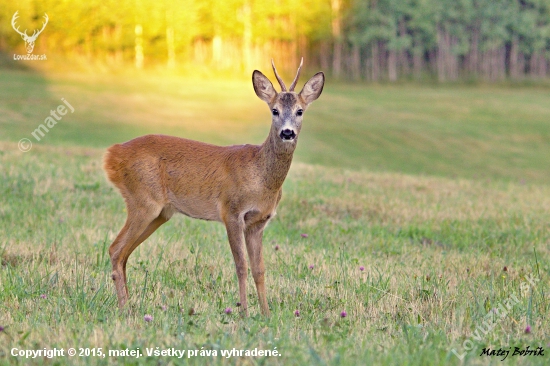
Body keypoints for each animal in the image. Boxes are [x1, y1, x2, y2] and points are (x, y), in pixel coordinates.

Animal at [104, 59, 324, 314]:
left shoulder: (258, 222)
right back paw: (124, 308)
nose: (287, 132)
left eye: (300, 111)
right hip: (142, 200)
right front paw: (244, 312)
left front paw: (266, 314)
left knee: (124, 253)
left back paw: (129, 305)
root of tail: (112, 155)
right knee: (116, 249)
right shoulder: (231, 211)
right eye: (274, 110)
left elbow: (260, 269)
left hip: (160, 213)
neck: (260, 176)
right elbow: (241, 266)